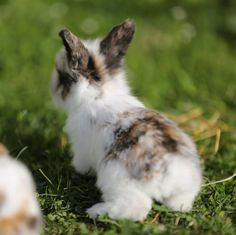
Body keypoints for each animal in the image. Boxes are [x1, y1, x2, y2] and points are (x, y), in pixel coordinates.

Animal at [51, 19, 201, 221]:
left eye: (62, 76)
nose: (52, 88)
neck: (99, 95)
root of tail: (171, 171)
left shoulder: (81, 147)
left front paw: (80, 171)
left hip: (116, 179)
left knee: (136, 208)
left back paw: (96, 211)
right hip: (185, 190)